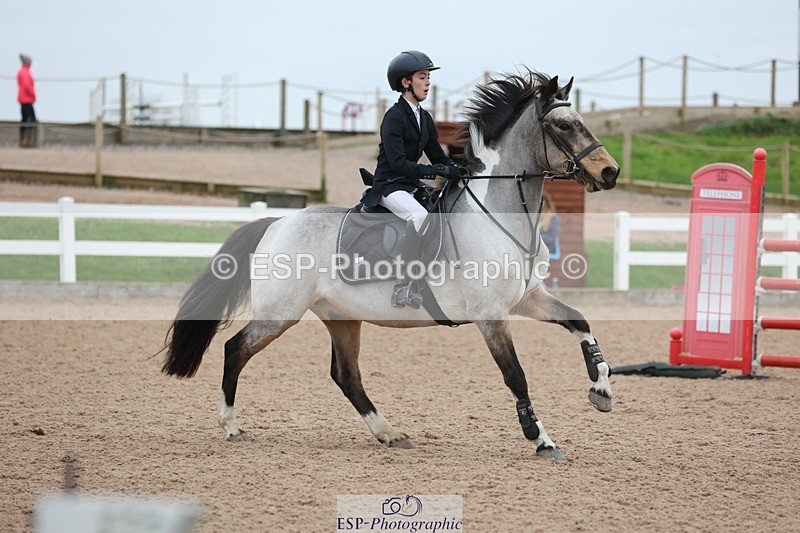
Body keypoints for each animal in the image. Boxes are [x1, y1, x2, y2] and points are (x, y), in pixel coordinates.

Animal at [161, 70, 620, 459]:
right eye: (563, 126)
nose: (610, 173)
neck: (501, 216)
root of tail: (276, 223)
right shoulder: (490, 314)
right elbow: (517, 375)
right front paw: (541, 438)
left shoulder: (527, 299)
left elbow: (580, 322)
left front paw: (601, 389)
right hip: (280, 312)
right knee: (235, 349)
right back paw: (230, 425)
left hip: (341, 317)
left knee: (346, 375)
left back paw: (390, 433)